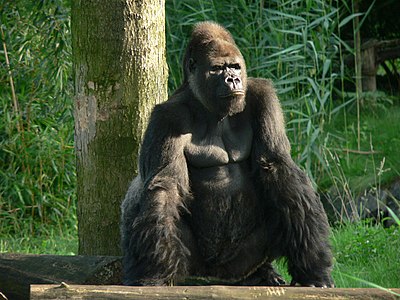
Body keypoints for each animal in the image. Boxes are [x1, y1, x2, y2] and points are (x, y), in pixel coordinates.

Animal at [120, 21, 332, 288]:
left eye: (235, 66)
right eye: (217, 69)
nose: (233, 79)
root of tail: (220, 276)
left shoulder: (262, 96)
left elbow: (277, 168)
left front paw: (314, 268)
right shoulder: (167, 117)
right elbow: (165, 185)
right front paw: (154, 272)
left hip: (245, 260)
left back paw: (262, 273)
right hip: (197, 267)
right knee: (139, 191)